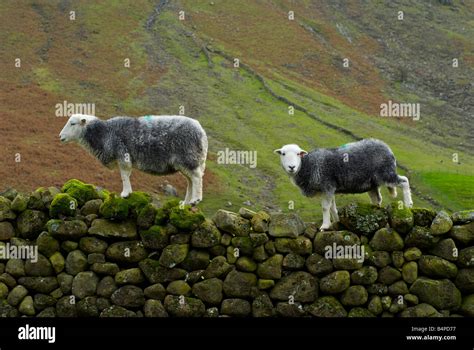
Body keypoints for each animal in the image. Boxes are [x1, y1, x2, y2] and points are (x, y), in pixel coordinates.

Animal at [59, 113, 207, 204]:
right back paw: (186, 202)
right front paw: (127, 192)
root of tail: (201, 132)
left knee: (196, 178)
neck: (104, 133)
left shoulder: (122, 155)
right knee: (190, 181)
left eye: (72, 123)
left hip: (188, 157)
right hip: (186, 162)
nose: (60, 136)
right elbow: (126, 175)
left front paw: (125, 193)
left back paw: (196, 200)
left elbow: (124, 176)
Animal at [274, 138, 412, 231]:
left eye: (298, 154)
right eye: (283, 154)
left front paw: (325, 226)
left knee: (404, 181)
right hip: (372, 183)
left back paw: (408, 204)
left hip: (386, 173)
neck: (309, 165)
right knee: (377, 199)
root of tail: (386, 147)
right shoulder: (329, 189)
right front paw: (336, 222)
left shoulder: (327, 186)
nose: (292, 167)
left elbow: (325, 208)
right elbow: (332, 208)